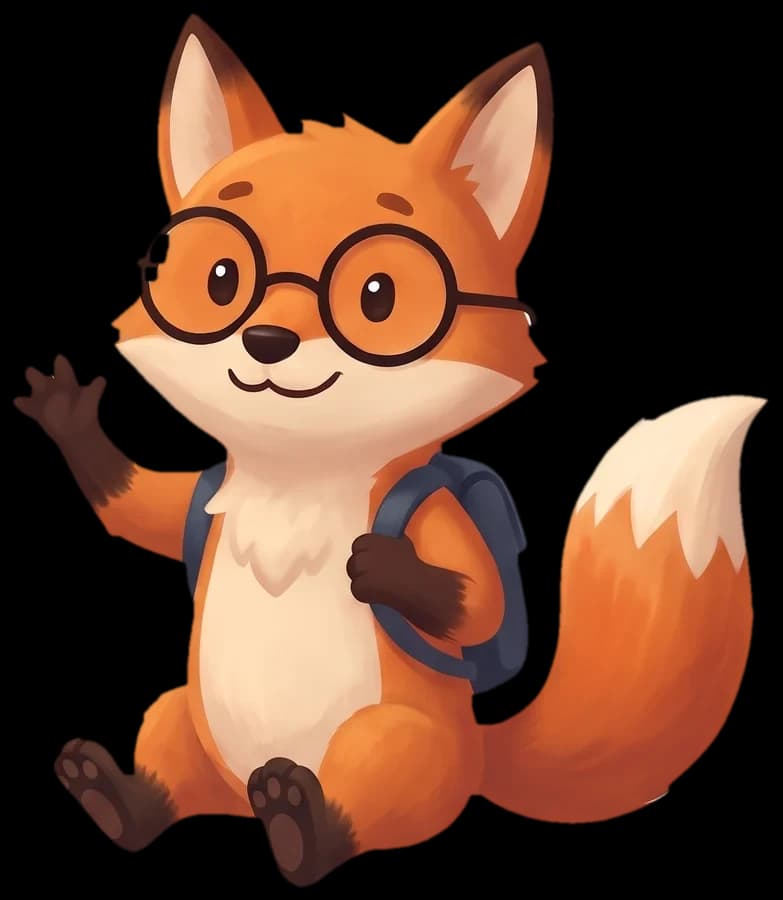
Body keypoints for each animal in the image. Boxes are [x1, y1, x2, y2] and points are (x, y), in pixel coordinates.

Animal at [14, 14, 764, 888]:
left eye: (377, 295)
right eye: (223, 277)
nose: (265, 342)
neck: (298, 481)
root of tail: (480, 759)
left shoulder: (433, 515)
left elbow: (482, 604)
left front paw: (388, 571)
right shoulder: (204, 491)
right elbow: (136, 511)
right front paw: (68, 417)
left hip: (397, 744)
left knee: (351, 809)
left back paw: (302, 824)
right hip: (180, 715)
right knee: (166, 764)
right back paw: (118, 799)